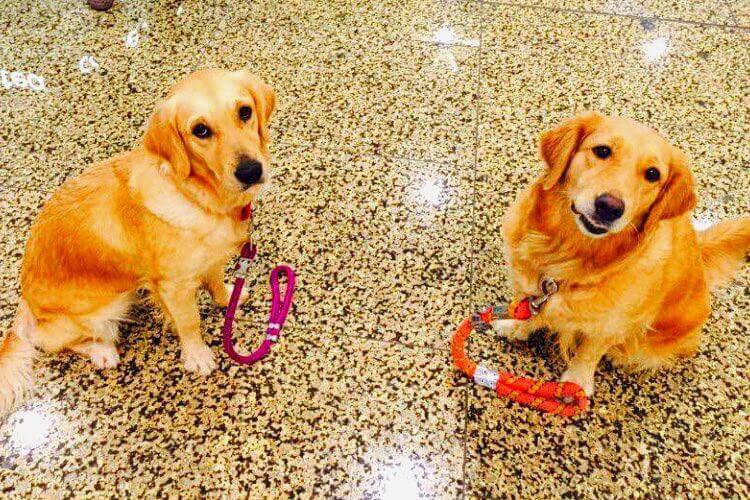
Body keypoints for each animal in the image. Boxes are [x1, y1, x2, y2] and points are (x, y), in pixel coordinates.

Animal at [0, 68, 276, 412]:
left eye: (245, 112)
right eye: (200, 130)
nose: (251, 171)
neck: (196, 194)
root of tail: (25, 305)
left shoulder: (209, 259)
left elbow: (214, 281)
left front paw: (228, 297)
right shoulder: (174, 287)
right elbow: (190, 322)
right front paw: (197, 356)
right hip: (107, 307)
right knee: (55, 342)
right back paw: (102, 352)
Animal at [500, 114, 750, 398]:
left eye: (652, 174)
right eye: (602, 151)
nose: (609, 207)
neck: (570, 254)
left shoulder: (613, 325)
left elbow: (589, 352)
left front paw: (575, 383)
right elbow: (528, 310)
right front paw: (517, 327)